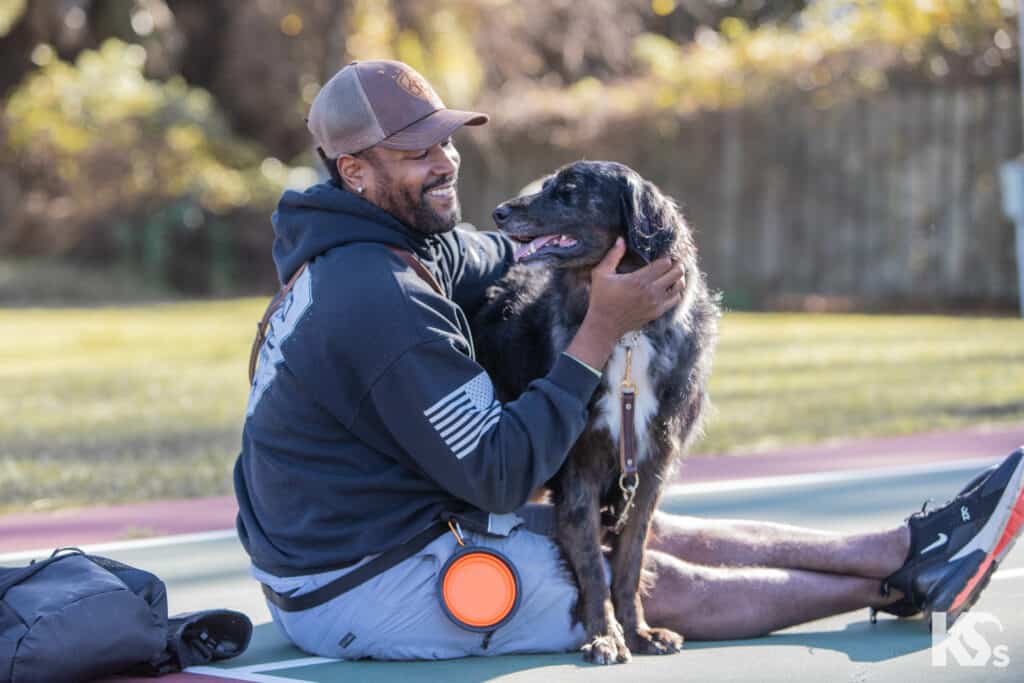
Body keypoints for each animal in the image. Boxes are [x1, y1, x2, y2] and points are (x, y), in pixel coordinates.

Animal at [471, 160, 720, 663]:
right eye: (546, 185)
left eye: (567, 191)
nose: (500, 212)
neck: (627, 336)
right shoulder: (578, 474)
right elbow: (590, 565)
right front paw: (604, 635)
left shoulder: (648, 471)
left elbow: (628, 562)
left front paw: (638, 631)